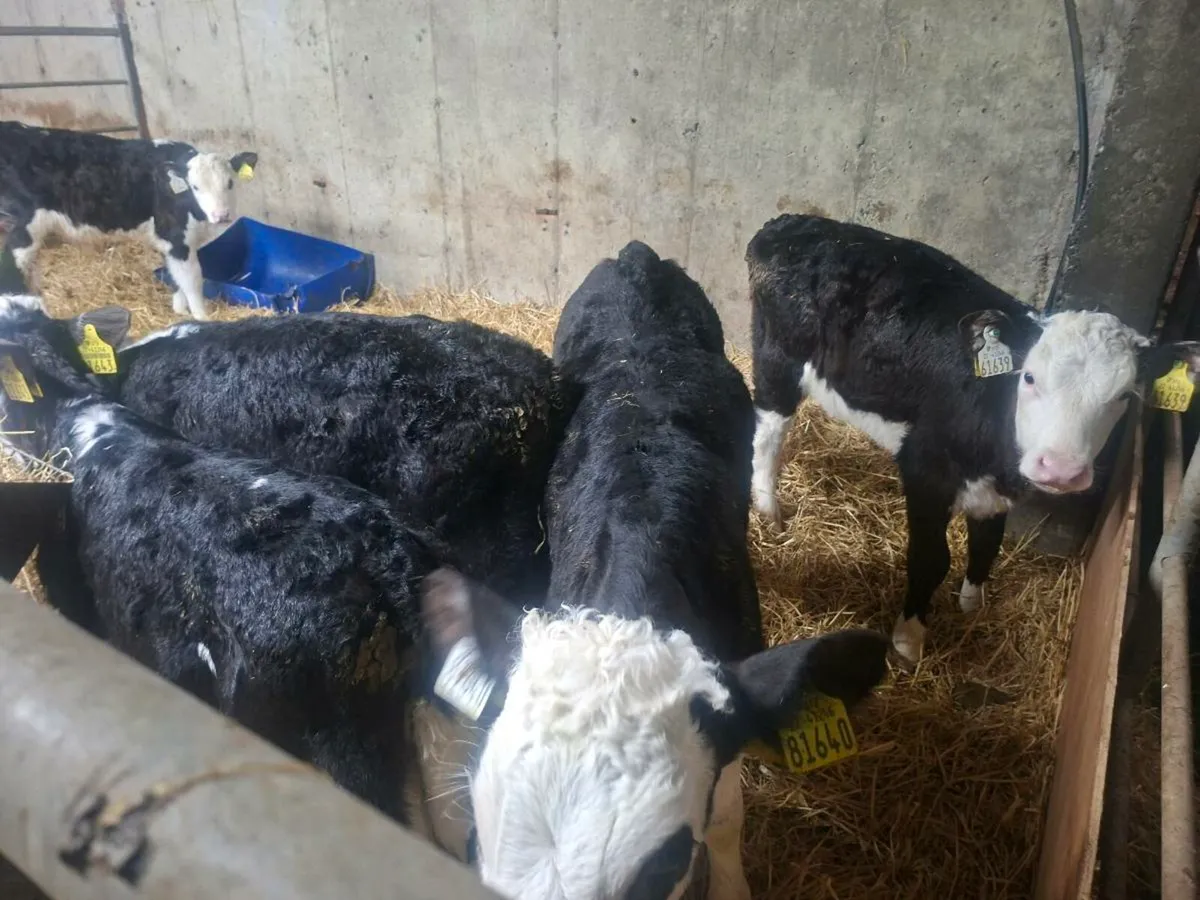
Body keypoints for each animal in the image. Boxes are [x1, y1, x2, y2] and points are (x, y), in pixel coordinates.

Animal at [0, 121, 257, 320]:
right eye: (195, 187)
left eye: (230, 183)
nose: (221, 215)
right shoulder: (175, 238)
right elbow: (192, 280)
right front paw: (202, 318)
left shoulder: (170, 242)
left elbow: (174, 277)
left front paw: (180, 311)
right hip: (21, 229)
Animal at [745, 213, 1200, 662]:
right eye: (1029, 377)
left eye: (1124, 396)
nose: (1060, 469)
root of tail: (792, 223)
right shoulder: (926, 469)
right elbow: (931, 559)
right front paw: (908, 641)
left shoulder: (995, 488)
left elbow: (987, 543)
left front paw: (971, 606)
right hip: (777, 357)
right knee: (768, 433)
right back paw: (769, 508)